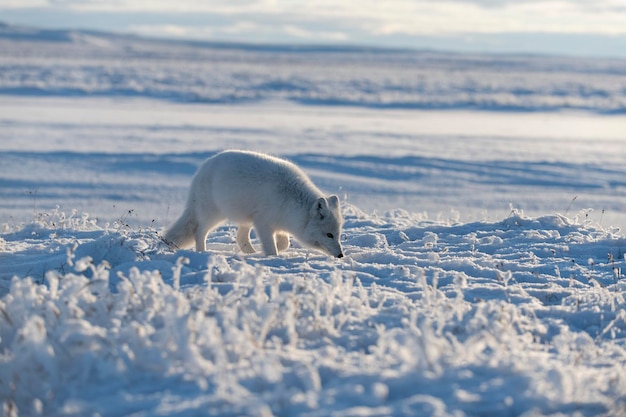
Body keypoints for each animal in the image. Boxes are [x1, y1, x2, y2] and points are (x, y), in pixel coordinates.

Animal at [163, 150, 344, 256]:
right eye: (329, 234)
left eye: (338, 234)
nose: (341, 255)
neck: (291, 199)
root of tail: (202, 168)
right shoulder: (263, 223)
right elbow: (272, 249)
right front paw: (272, 256)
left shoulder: (278, 224)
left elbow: (284, 243)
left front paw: (275, 248)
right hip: (214, 215)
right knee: (199, 232)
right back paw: (203, 252)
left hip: (245, 219)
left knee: (240, 239)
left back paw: (251, 253)